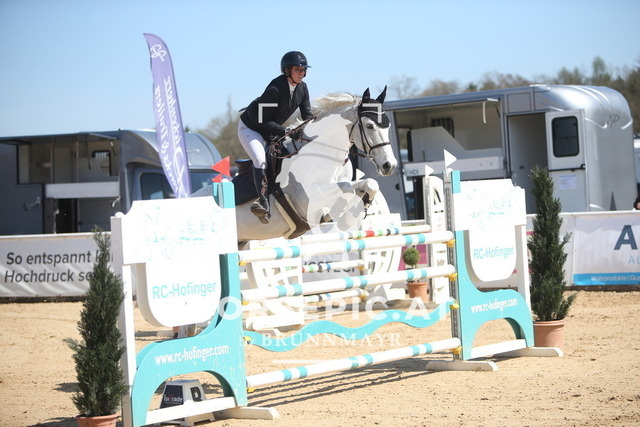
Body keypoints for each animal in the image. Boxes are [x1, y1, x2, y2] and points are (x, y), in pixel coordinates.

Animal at [193, 87, 397, 244]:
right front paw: (340, 215)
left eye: (387, 126)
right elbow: (346, 188)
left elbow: (369, 183)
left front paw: (360, 207)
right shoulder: (308, 197)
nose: (390, 165)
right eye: (370, 126)